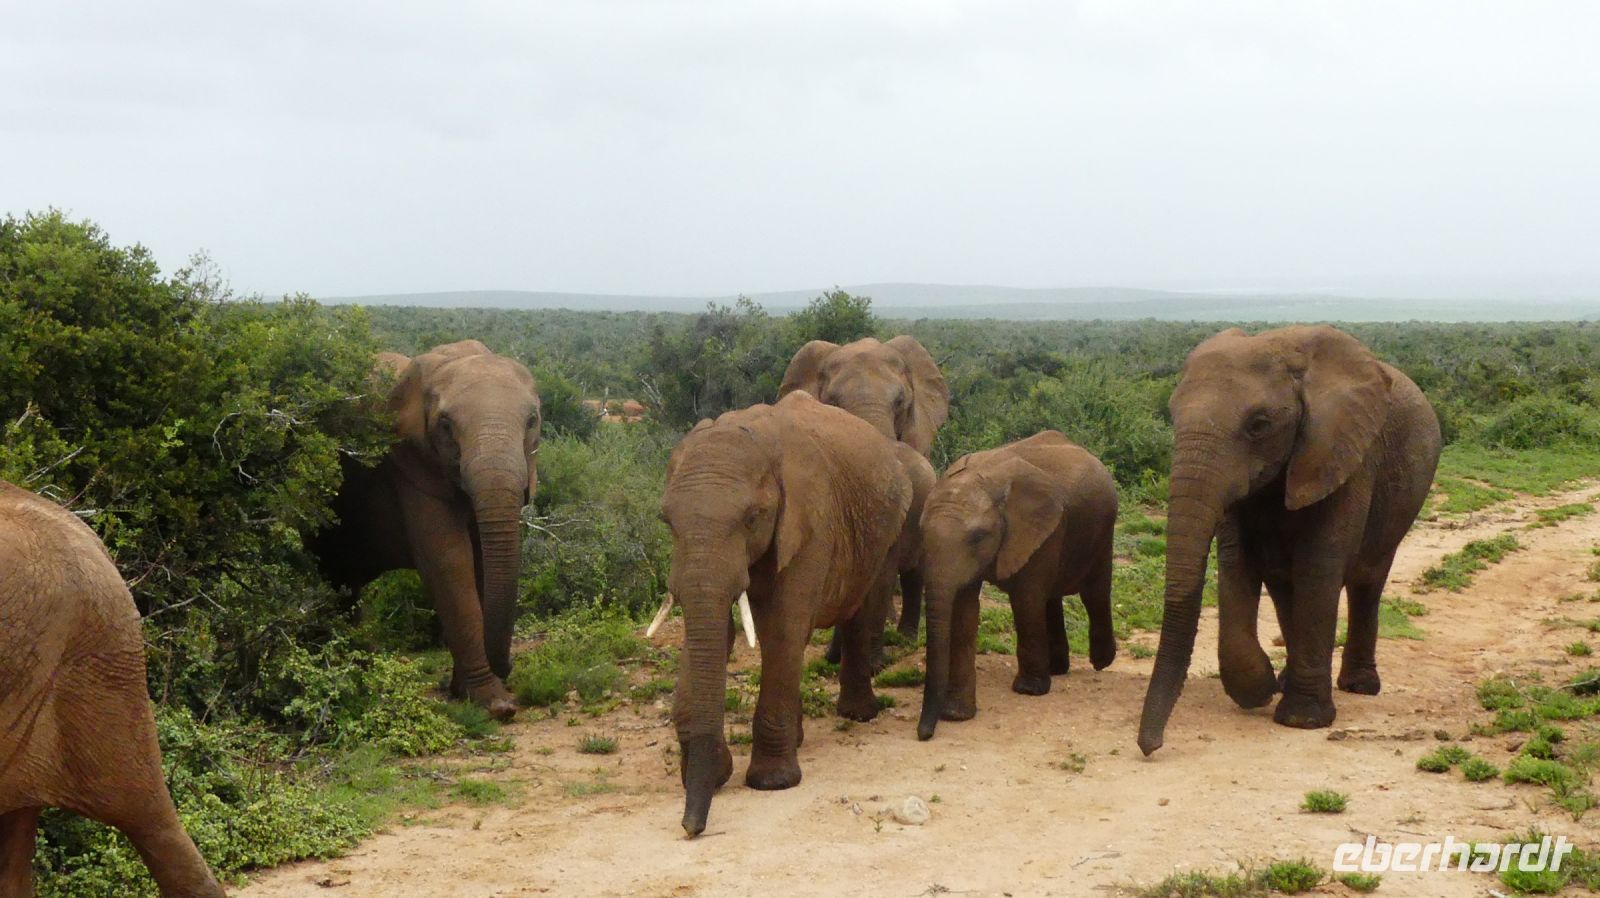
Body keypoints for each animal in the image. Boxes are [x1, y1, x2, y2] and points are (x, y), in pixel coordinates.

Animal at [311, 339, 539, 720]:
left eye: (533, 421)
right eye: (445, 425)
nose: (506, 669)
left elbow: (482, 560)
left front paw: (465, 691)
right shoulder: (410, 466)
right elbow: (449, 561)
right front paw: (494, 703)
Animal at [661, 390, 911, 837]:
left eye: (751, 518)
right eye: (666, 521)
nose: (690, 827)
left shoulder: (810, 521)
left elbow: (783, 628)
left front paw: (772, 782)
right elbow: (712, 630)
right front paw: (713, 774)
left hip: (886, 523)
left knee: (862, 606)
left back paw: (859, 714)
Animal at [916, 431, 1118, 741]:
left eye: (977, 537)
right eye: (921, 532)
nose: (924, 735)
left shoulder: (1038, 527)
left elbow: (1025, 599)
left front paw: (1029, 691)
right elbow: (963, 611)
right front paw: (957, 715)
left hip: (1102, 528)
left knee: (1093, 592)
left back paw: (1100, 663)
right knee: (1051, 598)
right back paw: (1057, 669)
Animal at [1137, 325, 1441, 756]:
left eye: (1259, 425)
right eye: (1173, 415)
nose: (1151, 747)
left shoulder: (1341, 453)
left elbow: (1318, 566)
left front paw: (1302, 719)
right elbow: (1236, 560)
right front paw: (1261, 689)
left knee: (1367, 582)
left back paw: (1359, 687)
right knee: (1285, 588)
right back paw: (1286, 681)